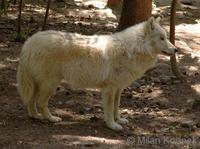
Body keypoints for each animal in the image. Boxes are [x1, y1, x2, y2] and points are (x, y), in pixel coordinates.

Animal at [16, 17, 177, 130]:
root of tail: (29, 42)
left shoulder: (118, 89)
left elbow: (116, 107)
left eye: (166, 37)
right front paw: (112, 125)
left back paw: (35, 116)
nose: (176, 50)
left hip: (39, 84)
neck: (132, 49)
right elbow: (109, 108)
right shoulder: (109, 89)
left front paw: (119, 120)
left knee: (31, 101)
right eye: (162, 38)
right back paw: (51, 119)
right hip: (50, 85)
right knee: (41, 102)